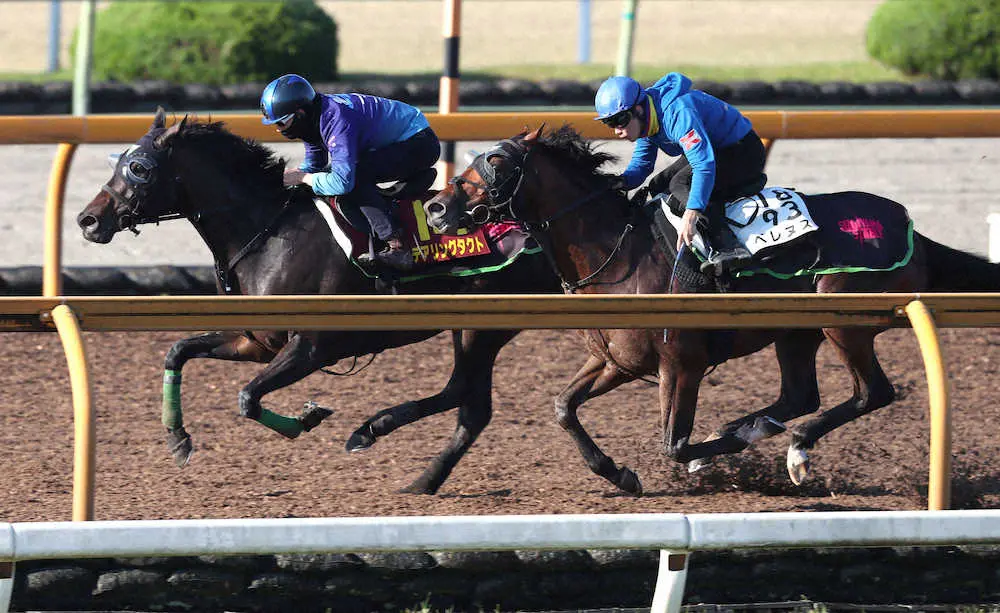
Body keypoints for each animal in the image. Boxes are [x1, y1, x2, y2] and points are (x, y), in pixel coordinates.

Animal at [76, 107, 564, 494]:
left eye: (139, 167)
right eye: (119, 161)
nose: (87, 220)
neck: (269, 230)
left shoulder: (314, 346)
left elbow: (247, 398)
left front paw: (307, 419)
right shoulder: (256, 341)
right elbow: (178, 352)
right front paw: (177, 439)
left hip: (482, 325)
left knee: (465, 396)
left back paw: (374, 434)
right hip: (477, 325)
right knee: (470, 405)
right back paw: (417, 478)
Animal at [424, 124, 1000, 492]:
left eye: (497, 162)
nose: (435, 206)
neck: (619, 252)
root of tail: (909, 226)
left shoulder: (682, 363)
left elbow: (673, 446)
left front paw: (698, 460)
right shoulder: (615, 360)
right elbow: (563, 408)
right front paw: (618, 474)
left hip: (843, 320)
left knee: (871, 392)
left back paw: (794, 447)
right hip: (797, 332)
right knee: (800, 395)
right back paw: (756, 429)